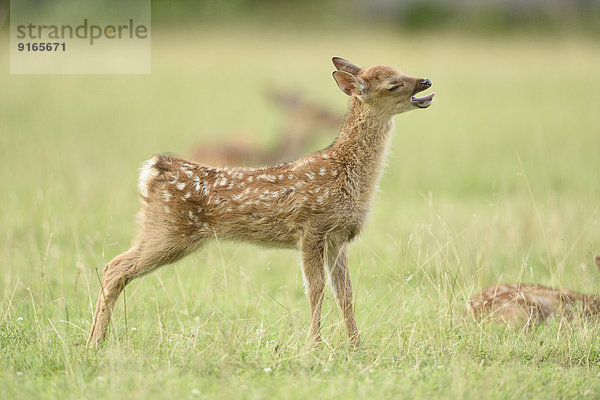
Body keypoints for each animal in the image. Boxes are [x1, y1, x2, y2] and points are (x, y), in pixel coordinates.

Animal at [88, 57, 436, 346]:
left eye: (402, 70)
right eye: (393, 84)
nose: (426, 81)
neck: (344, 172)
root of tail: (154, 169)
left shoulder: (340, 238)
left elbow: (345, 293)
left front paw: (355, 346)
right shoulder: (311, 228)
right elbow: (315, 290)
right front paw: (314, 346)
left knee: (114, 268)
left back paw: (94, 340)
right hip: (170, 230)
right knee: (114, 267)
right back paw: (95, 342)